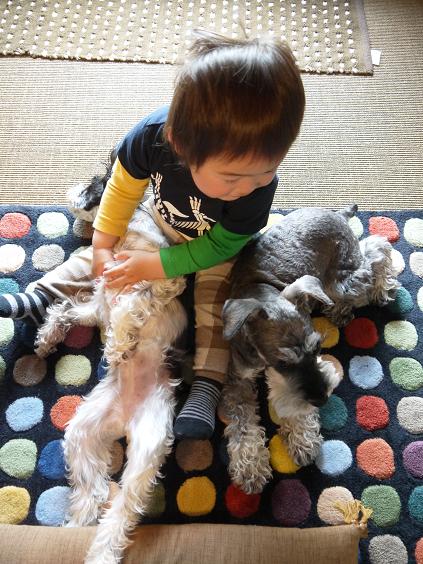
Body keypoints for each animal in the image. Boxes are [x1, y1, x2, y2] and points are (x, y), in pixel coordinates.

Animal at [35, 183, 187, 563]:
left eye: (92, 183)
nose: (71, 192)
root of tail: (126, 420)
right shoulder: (96, 306)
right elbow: (68, 309)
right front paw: (46, 339)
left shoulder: (158, 284)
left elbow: (127, 307)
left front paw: (118, 347)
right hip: (82, 433)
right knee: (94, 489)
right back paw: (77, 524)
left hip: (147, 446)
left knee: (123, 508)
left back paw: (102, 551)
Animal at [220, 205, 400, 494]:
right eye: (283, 364)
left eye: (317, 348)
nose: (323, 398)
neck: (263, 292)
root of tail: (337, 213)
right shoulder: (238, 378)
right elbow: (243, 424)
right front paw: (251, 468)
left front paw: (302, 439)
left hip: (340, 281)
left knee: (376, 249)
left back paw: (382, 288)